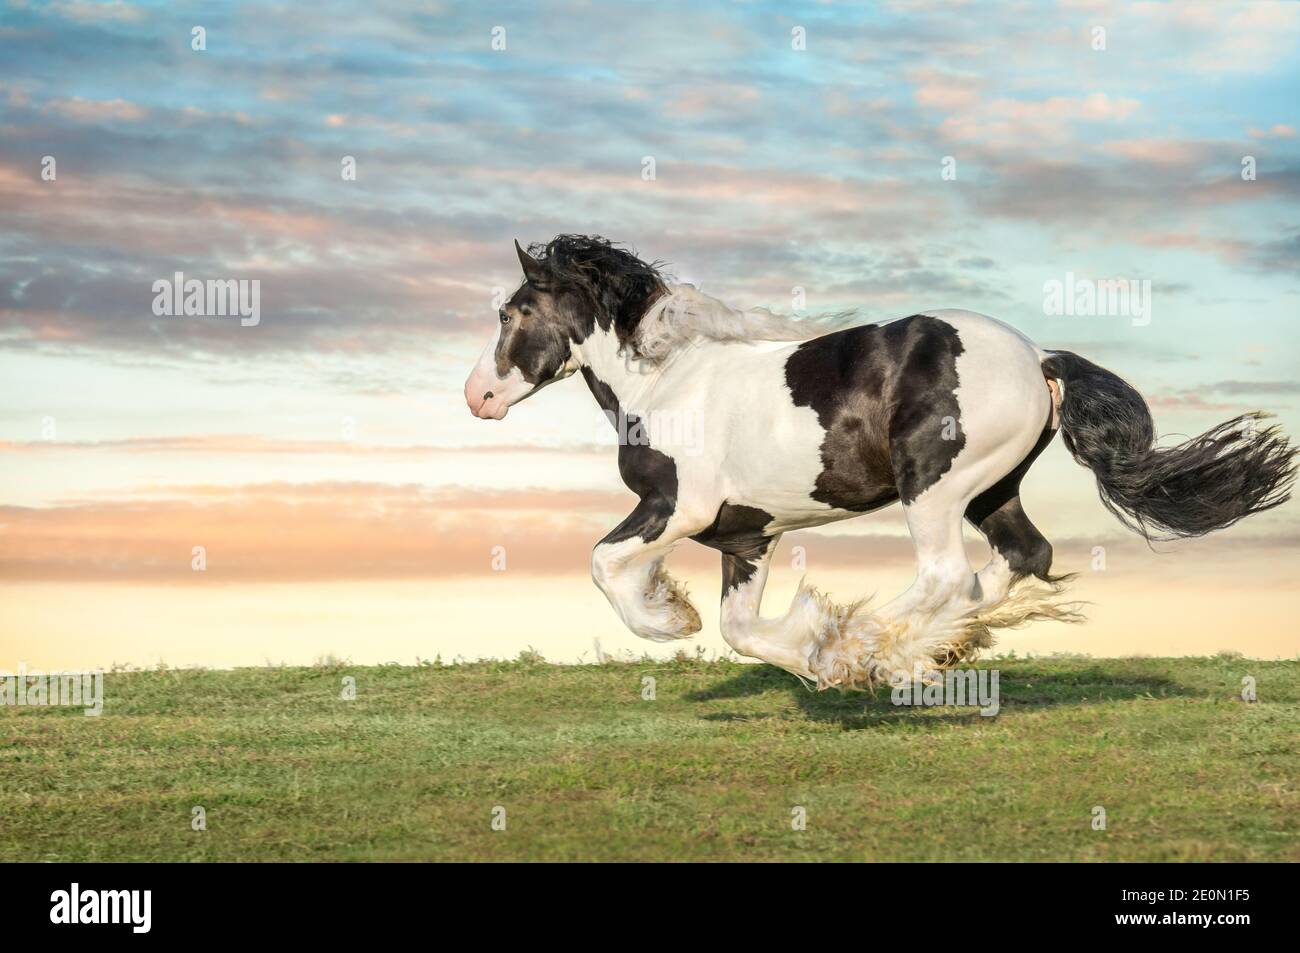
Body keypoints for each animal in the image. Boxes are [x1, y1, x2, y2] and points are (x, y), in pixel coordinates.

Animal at [462, 235, 1294, 686]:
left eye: (515, 312)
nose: (477, 395)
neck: (666, 378)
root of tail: (1038, 358)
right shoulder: (747, 535)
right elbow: (739, 630)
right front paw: (812, 659)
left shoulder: (679, 506)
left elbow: (605, 564)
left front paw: (669, 618)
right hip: (993, 487)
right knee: (1019, 557)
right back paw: (920, 650)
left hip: (933, 485)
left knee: (946, 574)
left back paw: (871, 644)